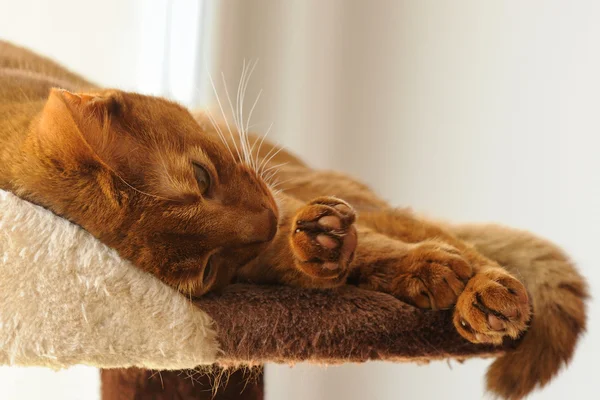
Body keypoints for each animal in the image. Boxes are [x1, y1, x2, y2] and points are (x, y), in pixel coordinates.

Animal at [0, 41, 588, 400]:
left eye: (201, 177)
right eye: (208, 270)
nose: (263, 226)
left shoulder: (284, 201)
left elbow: (376, 243)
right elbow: (316, 259)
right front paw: (328, 254)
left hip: (307, 179)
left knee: (432, 232)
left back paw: (485, 293)